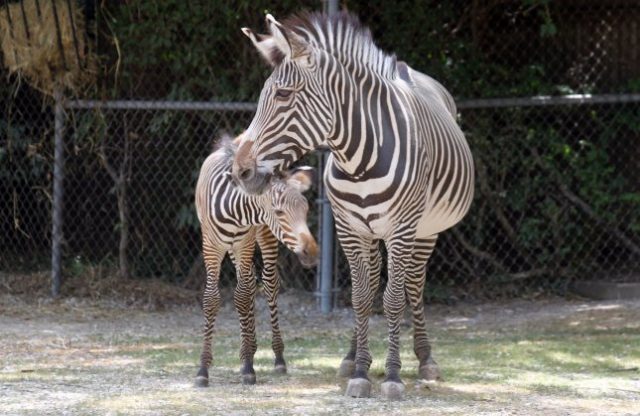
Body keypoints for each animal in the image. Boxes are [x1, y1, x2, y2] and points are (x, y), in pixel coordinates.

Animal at [194, 133, 316, 386]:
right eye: (279, 211)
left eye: (306, 209)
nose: (311, 252)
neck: (234, 210)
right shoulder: (211, 246)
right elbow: (212, 299)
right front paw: (203, 369)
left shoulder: (245, 243)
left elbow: (241, 296)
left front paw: (248, 366)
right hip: (232, 247)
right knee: (250, 283)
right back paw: (248, 347)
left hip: (263, 236)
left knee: (268, 284)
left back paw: (277, 357)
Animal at [232, 12, 472, 400]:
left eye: (283, 95)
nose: (240, 171)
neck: (359, 159)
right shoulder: (347, 227)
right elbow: (360, 296)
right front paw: (360, 370)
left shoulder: (402, 227)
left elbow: (394, 298)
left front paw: (392, 376)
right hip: (369, 231)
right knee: (371, 280)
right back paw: (352, 356)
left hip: (426, 229)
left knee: (414, 284)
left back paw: (425, 359)